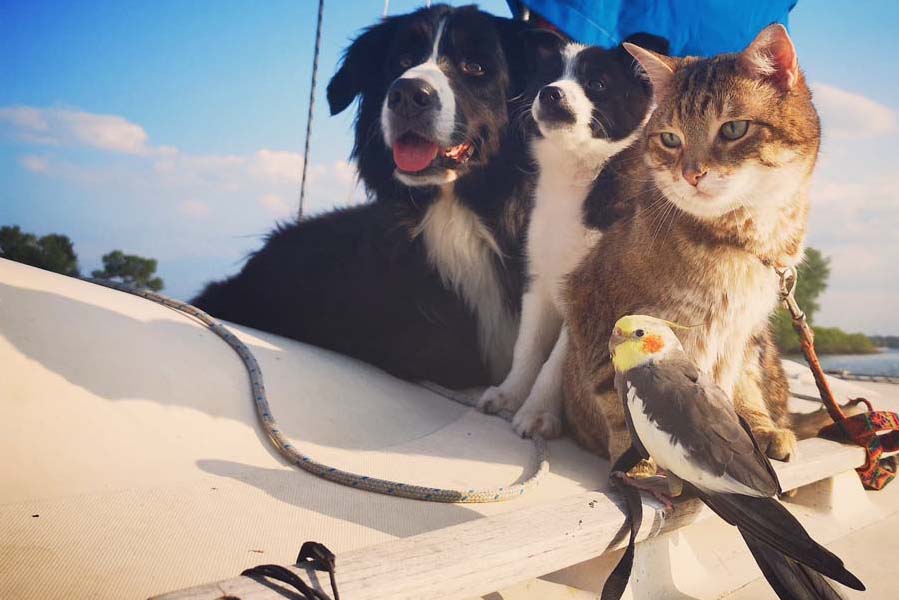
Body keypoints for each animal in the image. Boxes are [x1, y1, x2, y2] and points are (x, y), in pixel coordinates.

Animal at [478, 35, 668, 436]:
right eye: (547, 78)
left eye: (596, 83)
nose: (550, 93)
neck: (575, 177)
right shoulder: (538, 279)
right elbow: (528, 346)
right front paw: (509, 394)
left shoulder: (590, 298)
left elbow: (555, 363)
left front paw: (537, 413)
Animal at [568, 25, 820, 466]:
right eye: (670, 139)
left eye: (733, 129)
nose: (691, 174)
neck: (741, 239)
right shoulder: (592, 304)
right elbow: (616, 397)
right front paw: (638, 458)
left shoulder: (743, 331)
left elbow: (738, 385)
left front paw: (758, 429)